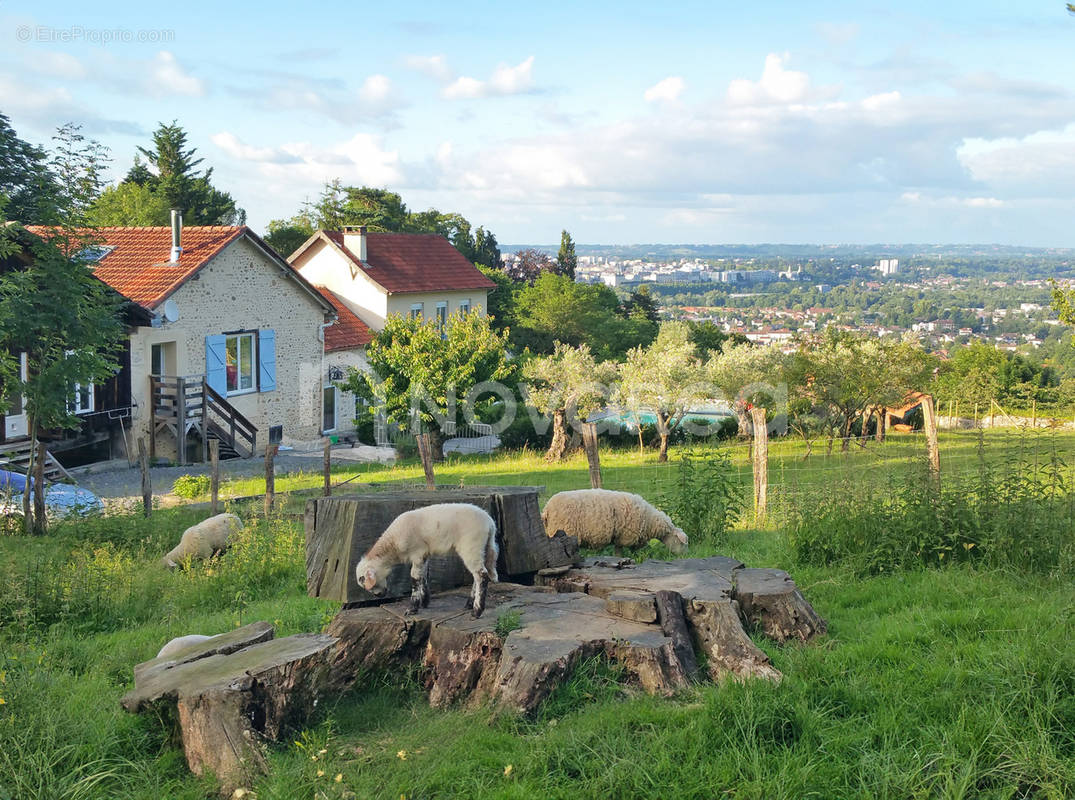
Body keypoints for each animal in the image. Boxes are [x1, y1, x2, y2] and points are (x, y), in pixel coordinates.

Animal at [354, 503, 500, 623]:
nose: (379, 595)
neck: (392, 544)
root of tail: (490, 523)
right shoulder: (424, 555)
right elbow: (423, 576)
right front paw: (424, 601)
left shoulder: (417, 552)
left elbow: (414, 578)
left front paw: (412, 608)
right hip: (482, 548)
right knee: (478, 575)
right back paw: (469, 604)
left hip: (471, 546)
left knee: (481, 575)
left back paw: (476, 612)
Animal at [541, 490, 692, 554]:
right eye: (681, 543)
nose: (686, 555)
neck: (650, 521)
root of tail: (546, 509)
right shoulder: (627, 536)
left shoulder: (619, 536)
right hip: (564, 531)